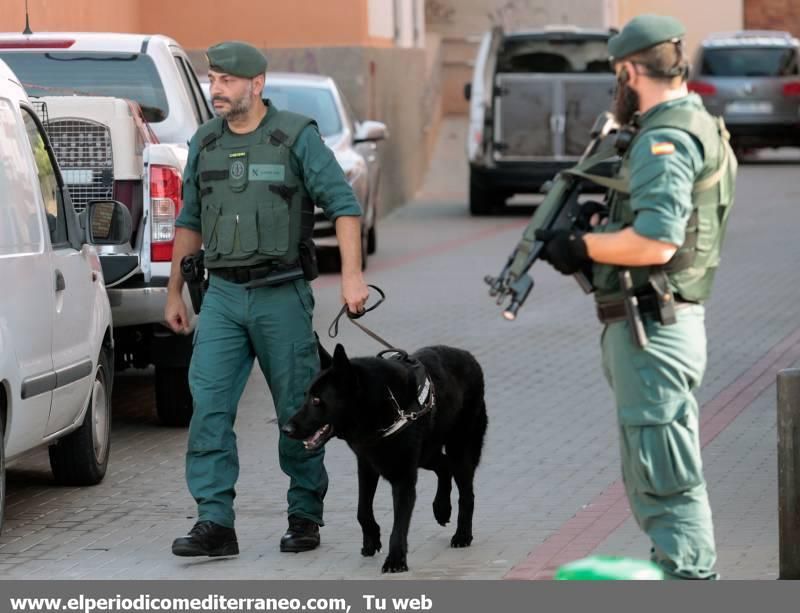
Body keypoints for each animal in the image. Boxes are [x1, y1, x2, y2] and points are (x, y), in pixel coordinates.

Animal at [282, 342, 488, 572]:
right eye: (306, 396)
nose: (286, 429)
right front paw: (371, 540)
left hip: (459, 450)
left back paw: (462, 534)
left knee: (466, 493)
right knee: (444, 466)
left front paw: (396, 560)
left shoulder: (403, 478)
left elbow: (399, 525)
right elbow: (362, 510)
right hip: (426, 454)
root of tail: (468, 356)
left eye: (317, 400)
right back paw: (442, 508)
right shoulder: (367, 466)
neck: (378, 405)